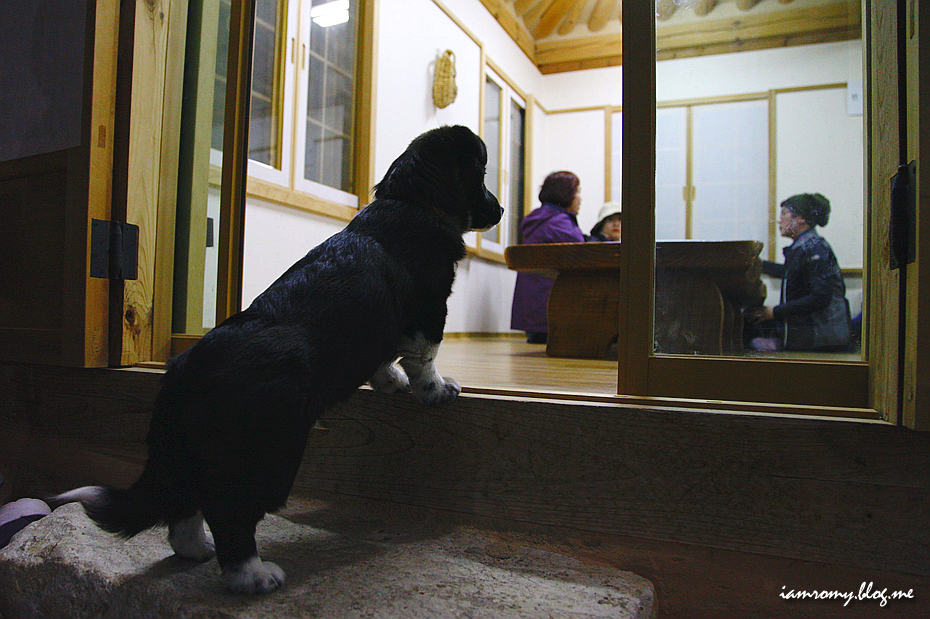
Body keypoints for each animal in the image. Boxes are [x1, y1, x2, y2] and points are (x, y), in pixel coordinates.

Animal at [55, 126, 504, 596]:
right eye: (480, 171)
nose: (501, 210)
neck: (411, 198)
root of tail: (183, 373)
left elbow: (383, 356)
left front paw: (392, 381)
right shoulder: (430, 307)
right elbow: (425, 355)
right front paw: (438, 390)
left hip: (190, 450)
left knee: (183, 501)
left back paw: (195, 550)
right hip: (268, 451)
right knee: (229, 511)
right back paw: (252, 576)